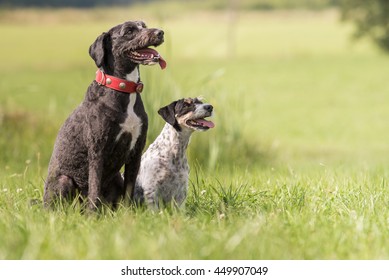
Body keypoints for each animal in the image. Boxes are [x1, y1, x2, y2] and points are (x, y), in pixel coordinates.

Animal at [43, 20, 165, 209]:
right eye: (129, 31)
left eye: (144, 25)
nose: (160, 32)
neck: (123, 87)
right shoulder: (97, 150)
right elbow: (94, 187)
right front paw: (92, 214)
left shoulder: (136, 150)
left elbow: (129, 189)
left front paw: (128, 212)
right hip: (64, 181)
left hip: (116, 178)